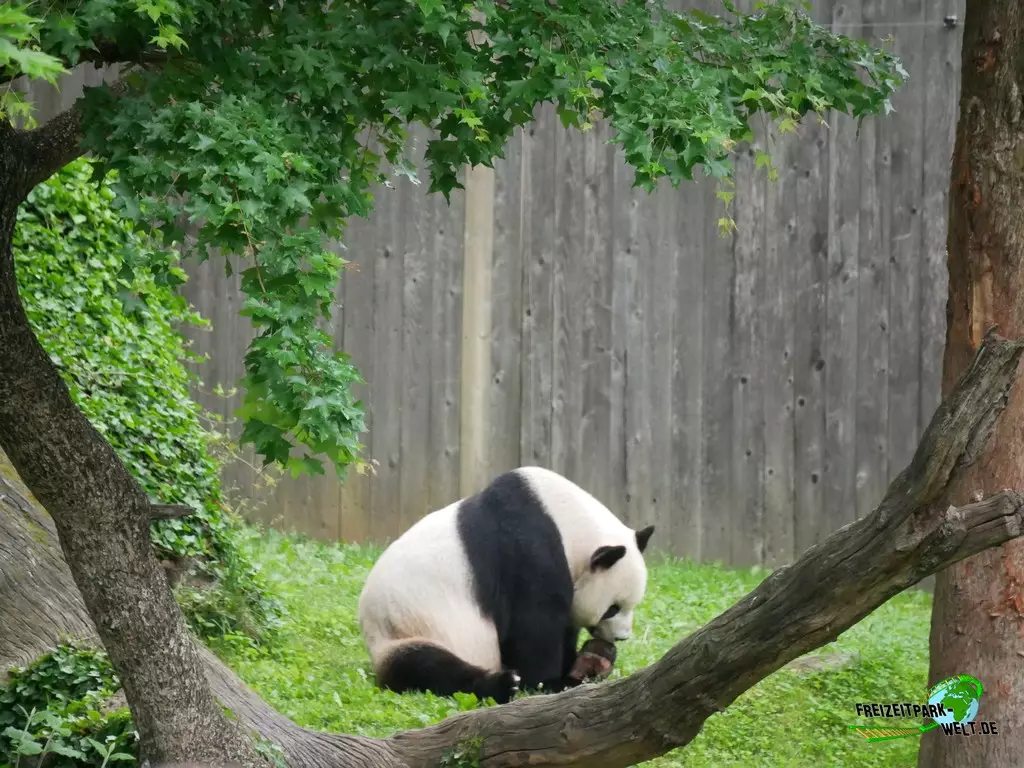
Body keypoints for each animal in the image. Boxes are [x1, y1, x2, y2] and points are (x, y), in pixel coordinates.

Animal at [357, 465, 655, 704]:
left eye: (632, 605)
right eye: (612, 609)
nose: (620, 637)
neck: (566, 522)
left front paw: (584, 662)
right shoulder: (527, 550)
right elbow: (533, 623)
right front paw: (551, 682)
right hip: (405, 630)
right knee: (425, 665)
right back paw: (502, 684)